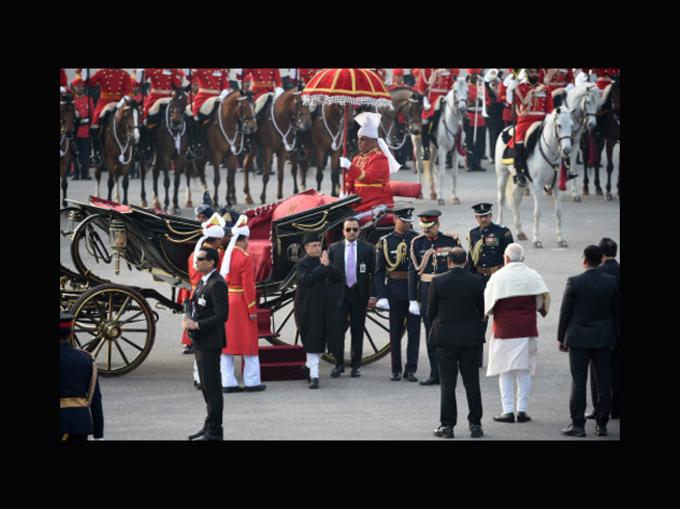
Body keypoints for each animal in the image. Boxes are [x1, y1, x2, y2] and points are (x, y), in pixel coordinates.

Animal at [494, 105, 572, 248]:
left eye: (572, 125)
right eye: (559, 125)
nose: (567, 150)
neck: (549, 153)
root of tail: (507, 129)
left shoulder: (556, 186)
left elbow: (558, 212)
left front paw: (561, 239)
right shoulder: (537, 185)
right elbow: (537, 212)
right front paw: (537, 239)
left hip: (521, 181)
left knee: (516, 200)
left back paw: (520, 231)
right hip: (502, 175)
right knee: (501, 199)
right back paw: (501, 224)